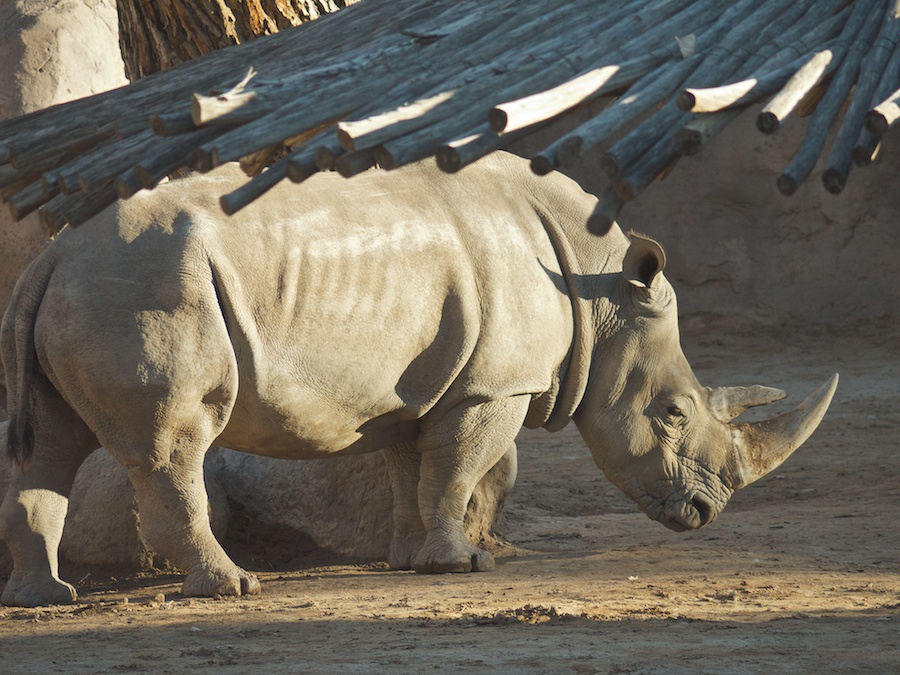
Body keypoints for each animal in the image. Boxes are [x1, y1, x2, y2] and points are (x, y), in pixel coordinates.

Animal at [0, 152, 836, 607]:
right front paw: (462, 564)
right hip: (145, 289)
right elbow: (458, 470)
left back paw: (47, 597)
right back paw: (235, 587)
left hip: (93, 289)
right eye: (671, 412)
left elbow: (414, 469)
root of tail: (52, 255)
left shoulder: (421, 386)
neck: (599, 285)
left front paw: (407, 561)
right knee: (173, 444)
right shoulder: (494, 384)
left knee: (47, 448)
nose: (704, 512)